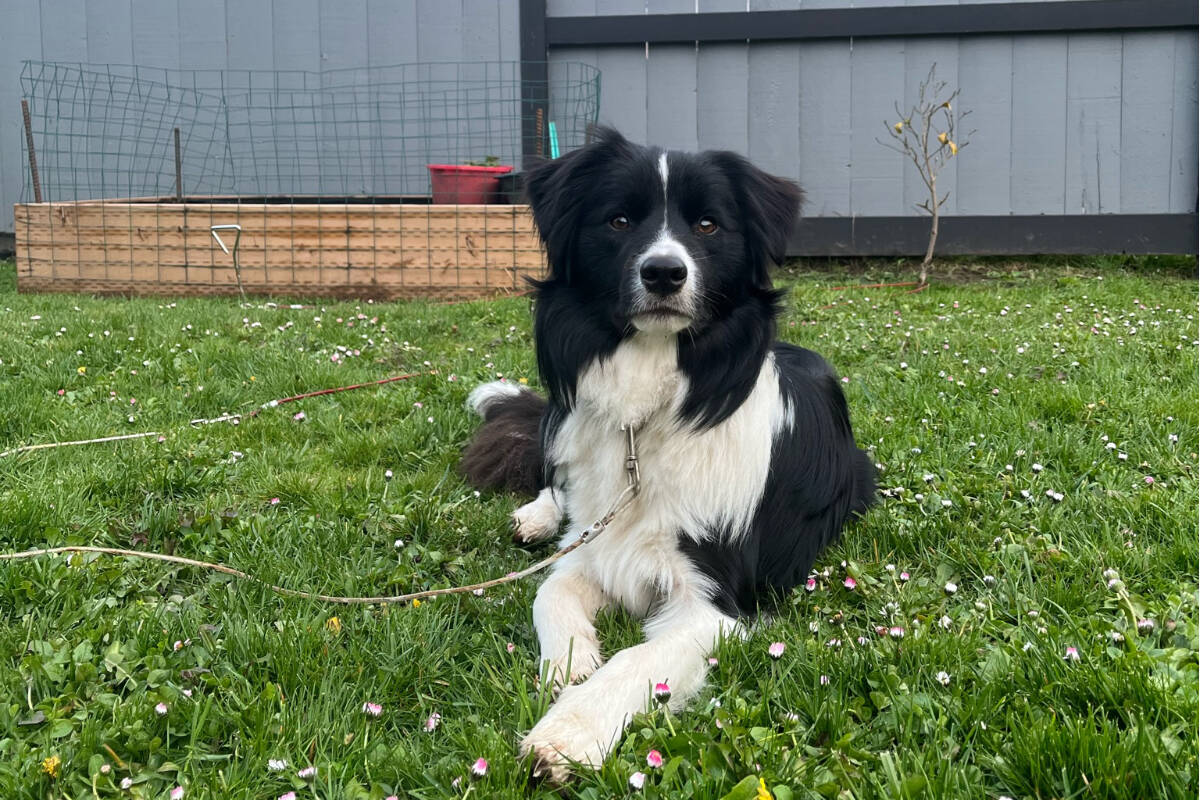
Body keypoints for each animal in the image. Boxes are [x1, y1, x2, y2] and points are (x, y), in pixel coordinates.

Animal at [458, 126, 873, 782]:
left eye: (707, 225)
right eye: (619, 220)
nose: (663, 273)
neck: (648, 406)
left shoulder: (716, 602)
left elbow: (636, 656)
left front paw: (569, 731)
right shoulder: (595, 548)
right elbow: (551, 591)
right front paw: (571, 664)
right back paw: (538, 515)